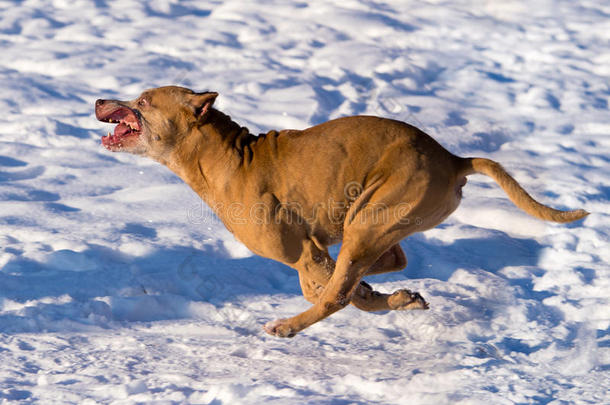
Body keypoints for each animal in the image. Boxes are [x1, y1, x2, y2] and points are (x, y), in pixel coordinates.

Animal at [94, 87, 584, 336]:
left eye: (143, 102)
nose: (98, 100)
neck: (227, 157)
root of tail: (452, 159)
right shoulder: (312, 250)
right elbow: (333, 284)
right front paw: (385, 296)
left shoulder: (302, 250)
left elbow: (327, 289)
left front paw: (365, 297)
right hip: (369, 224)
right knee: (388, 260)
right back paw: (390, 293)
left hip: (369, 220)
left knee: (339, 290)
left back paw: (290, 326)